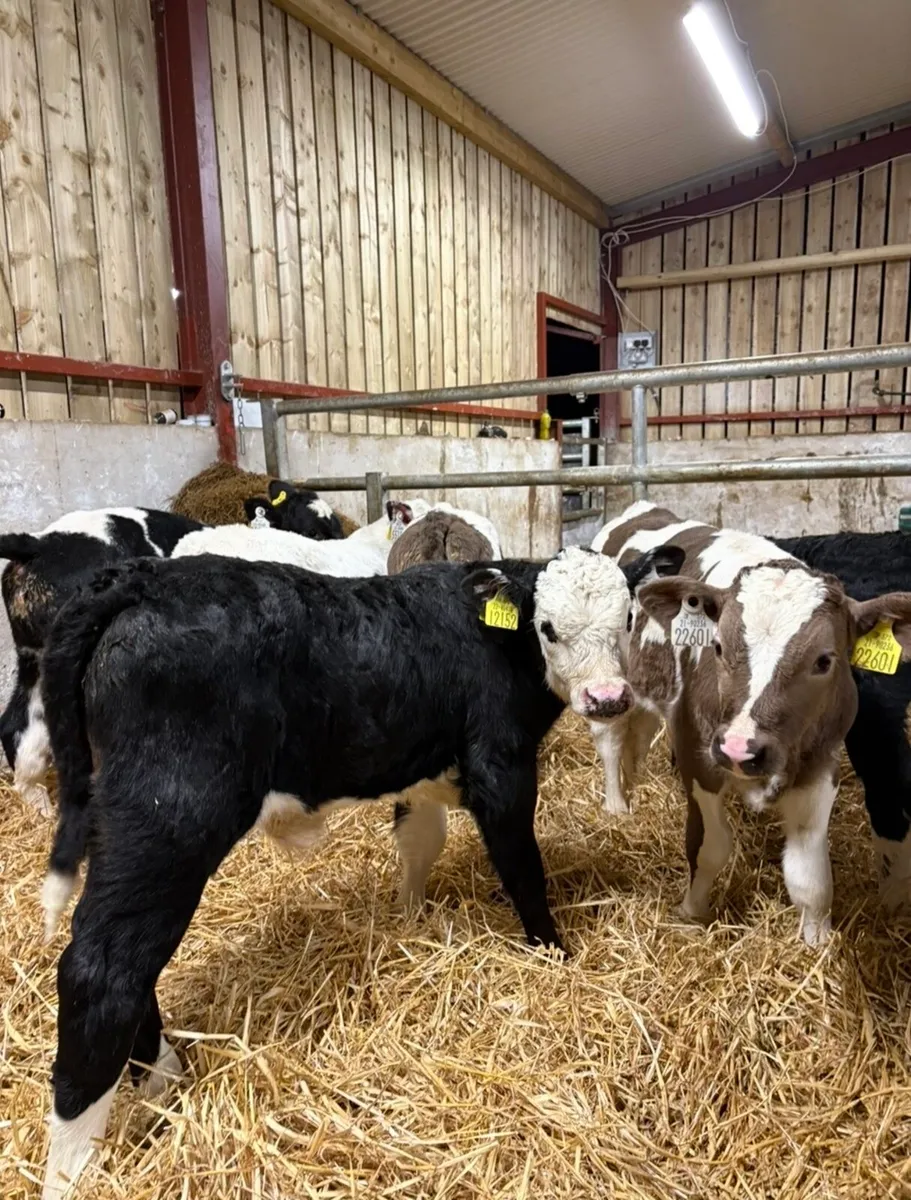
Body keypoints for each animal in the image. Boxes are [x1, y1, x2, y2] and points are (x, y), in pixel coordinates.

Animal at [37, 543, 678, 1195]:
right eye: (546, 628)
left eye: (627, 617)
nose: (607, 697)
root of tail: (140, 578)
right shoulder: (502, 767)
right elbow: (523, 869)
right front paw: (554, 952)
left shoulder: (424, 768)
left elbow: (420, 842)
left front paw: (412, 919)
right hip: (170, 820)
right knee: (103, 968)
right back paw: (74, 1167)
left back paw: (163, 1078)